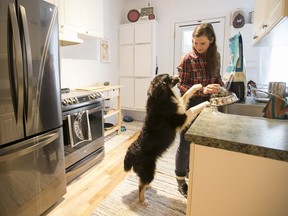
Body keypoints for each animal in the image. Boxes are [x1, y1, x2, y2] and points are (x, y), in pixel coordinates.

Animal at [123, 73, 209, 205]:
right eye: (168, 77)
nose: (179, 75)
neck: (161, 98)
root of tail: (130, 154)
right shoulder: (181, 119)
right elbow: (193, 108)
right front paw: (206, 103)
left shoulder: (180, 105)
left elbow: (186, 94)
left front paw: (197, 86)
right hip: (149, 170)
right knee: (140, 186)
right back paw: (143, 201)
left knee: (141, 182)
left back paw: (147, 188)